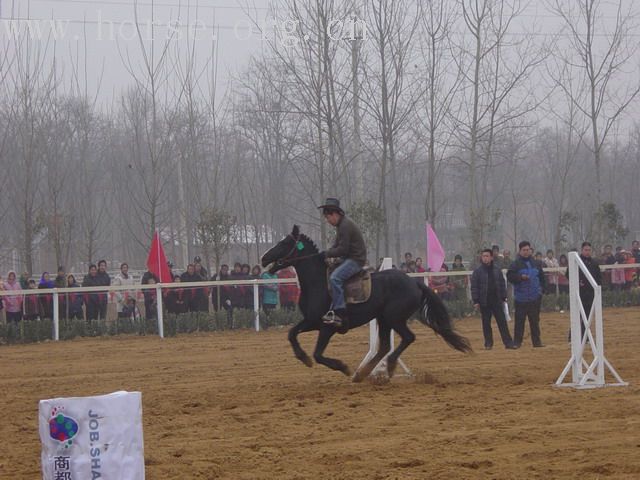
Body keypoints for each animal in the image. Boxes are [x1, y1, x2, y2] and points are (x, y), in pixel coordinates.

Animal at [258, 225, 470, 382]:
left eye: (285, 242)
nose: (264, 257)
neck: (317, 283)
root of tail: (414, 282)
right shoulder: (311, 321)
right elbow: (291, 334)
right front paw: (303, 358)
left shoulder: (327, 327)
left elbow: (318, 354)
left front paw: (343, 367)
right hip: (383, 319)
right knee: (384, 346)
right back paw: (364, 372)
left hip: (394, 318)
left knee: (407, 338)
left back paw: (387, 366)